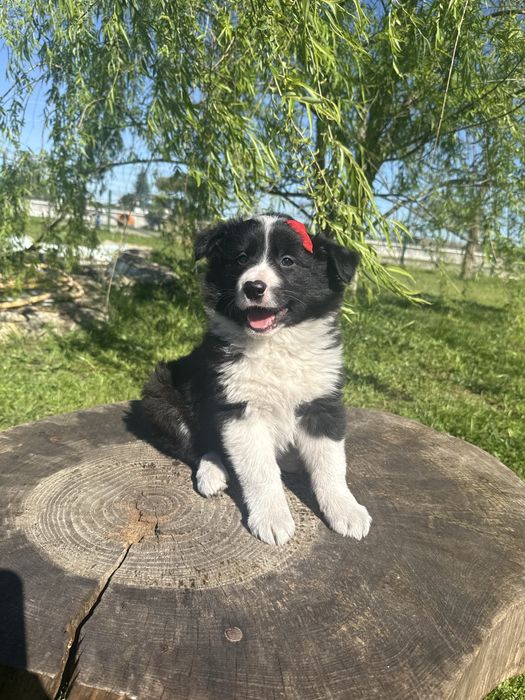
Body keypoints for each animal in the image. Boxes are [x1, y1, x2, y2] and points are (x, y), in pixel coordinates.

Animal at [142, 213, 372, 545]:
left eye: (288, 261)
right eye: (241, 259)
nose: (253, 287)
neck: (275, 343)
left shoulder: (321, 403)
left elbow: (331, 464)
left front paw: (346, 510)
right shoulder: (240, 411)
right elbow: (260, 471)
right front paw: (272, 519)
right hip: (160, 395)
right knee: (198, 444)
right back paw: (212, 473)